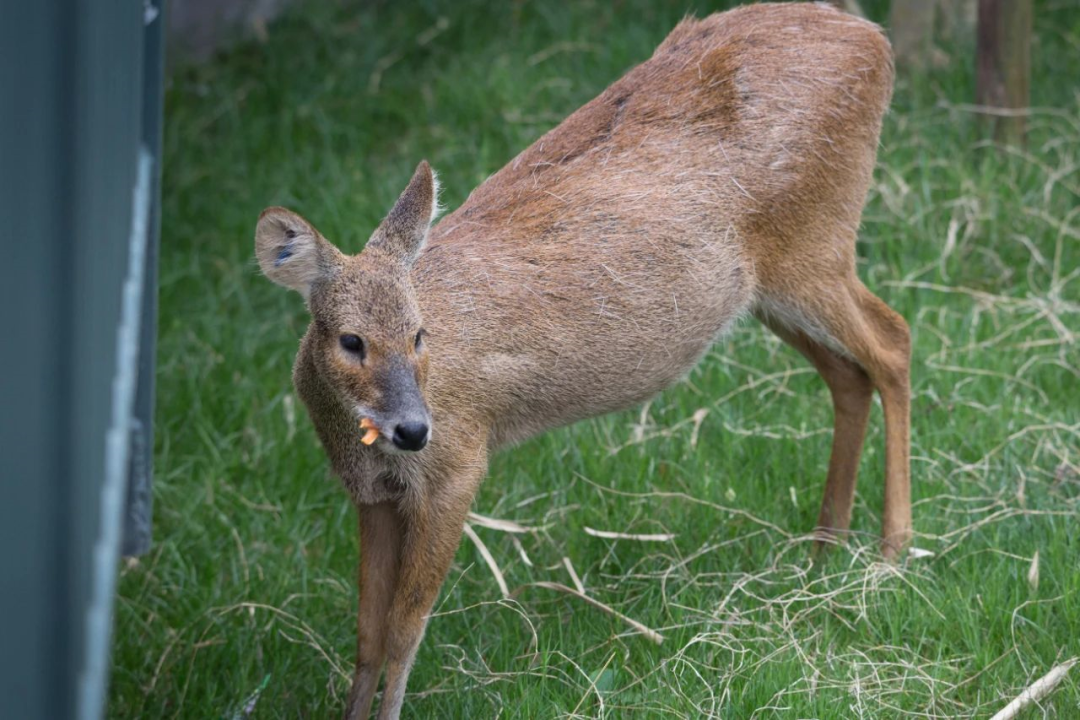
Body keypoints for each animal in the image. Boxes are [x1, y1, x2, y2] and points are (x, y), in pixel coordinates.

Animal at [252, 2, 911, 716]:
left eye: (420, 333)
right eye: (351, 340)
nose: (413, 429)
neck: (363, 437)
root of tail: (871, 40)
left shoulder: (458, 465)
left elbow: (405, 630)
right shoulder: (371, 493)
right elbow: (368, 635)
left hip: (816, 244)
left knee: (894, 341)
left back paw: (892, 551)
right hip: (770, 287)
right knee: (850, 373)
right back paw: (825, 549)